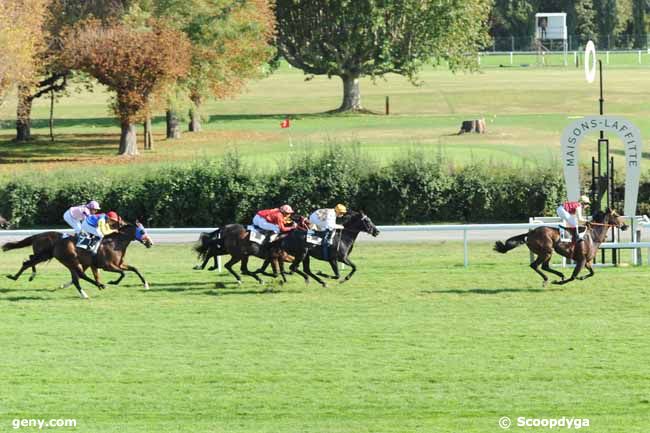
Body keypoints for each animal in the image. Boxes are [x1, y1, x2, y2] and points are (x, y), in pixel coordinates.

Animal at [494, 208, 624, 286]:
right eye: (617, 215)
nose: (625, 226)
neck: (593, 236)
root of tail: (530, 233)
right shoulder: (581, 260)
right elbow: (573, 276)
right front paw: (559, 282)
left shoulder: (587, 261)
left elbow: (592, 273)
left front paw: (581, 277)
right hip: (546, 251)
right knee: (535, 265)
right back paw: (548, 279)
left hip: (547, 252)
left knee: (544, 266)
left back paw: (559, 275)